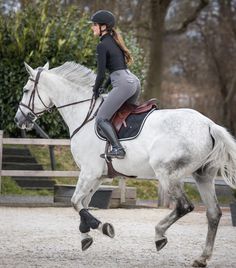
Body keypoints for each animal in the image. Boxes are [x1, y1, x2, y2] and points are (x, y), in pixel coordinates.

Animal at [14, 61, 236, 266]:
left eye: (26, 90)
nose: (18, 120)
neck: (84, 114)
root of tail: (209, 125)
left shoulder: (89, 172)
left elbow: (75, 202)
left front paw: (103, 228)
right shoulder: (98, 176)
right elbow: (83, 204)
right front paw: (86, 235)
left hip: (167, 174)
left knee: (184, 206)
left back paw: (159, 235)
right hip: (203, 176)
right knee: (213, 213)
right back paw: (202, 258)